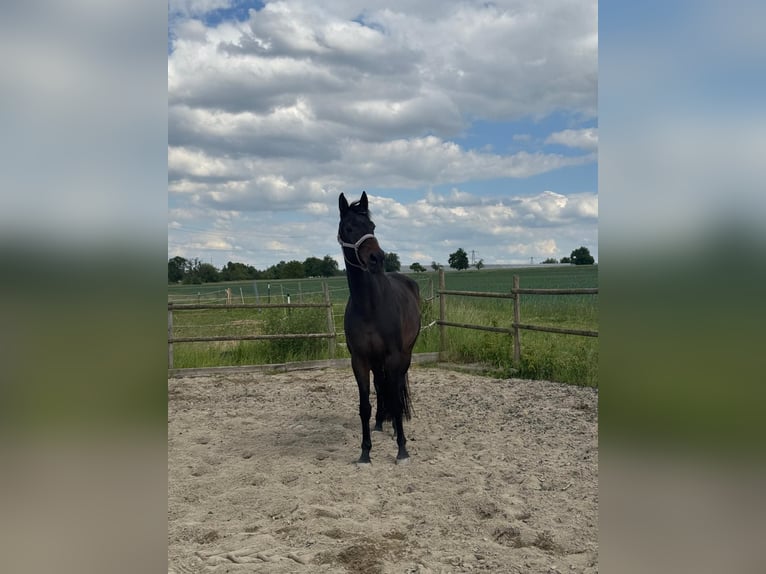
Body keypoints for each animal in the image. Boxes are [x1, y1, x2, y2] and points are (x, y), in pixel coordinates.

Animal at [337, 191, 421, 465]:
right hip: (376, 361)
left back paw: (395, 426)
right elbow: (365, 405)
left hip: (405, 356)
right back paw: (379, 423)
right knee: (381, 386)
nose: (377, 258)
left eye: (372, 226)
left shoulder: (394, 356)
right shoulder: (360, 360)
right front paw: (365, 452)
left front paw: (402, 450)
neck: (369, 306)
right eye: (348, 227)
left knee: (396, 389)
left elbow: (396, 399)